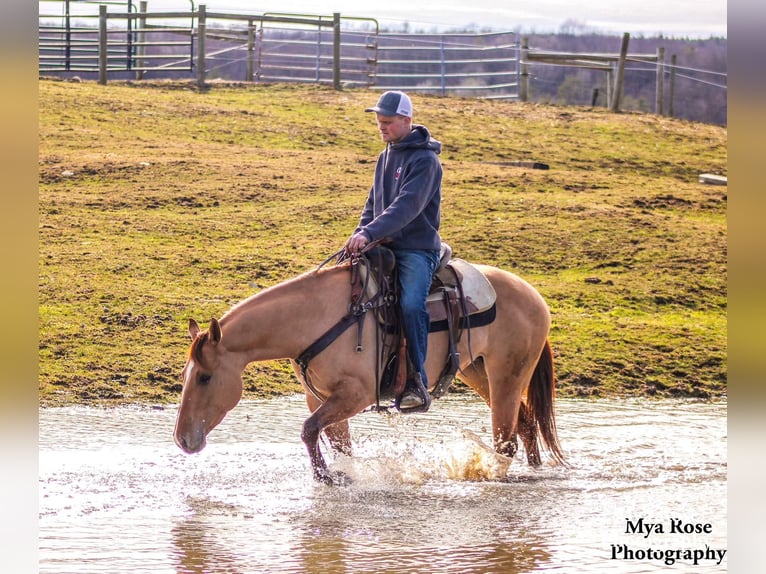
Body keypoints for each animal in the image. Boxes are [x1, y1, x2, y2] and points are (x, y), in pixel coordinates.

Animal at [176, 256, 568, 486]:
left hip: (505, 378)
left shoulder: (355, 395)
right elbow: (337, 444)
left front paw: (328, 477)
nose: (182, 440)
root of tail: (534, 295)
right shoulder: (321, 398)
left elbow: (308, 431)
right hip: (478, 372)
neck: (316, 319)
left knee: (507, 441)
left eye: (205, 377)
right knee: (526, 426)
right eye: (185, 376)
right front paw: (339, 475)